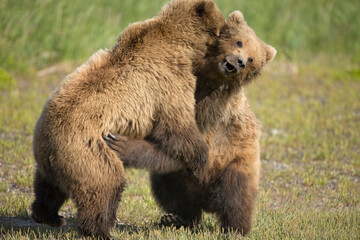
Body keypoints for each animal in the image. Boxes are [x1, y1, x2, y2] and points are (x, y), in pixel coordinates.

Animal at [31, 0, 224, 239]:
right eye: (221, 28)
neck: (183, 46)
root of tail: (46, 145)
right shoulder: (168, 82)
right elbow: (177, 126)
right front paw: (199, 162)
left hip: (55, 159)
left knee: (49, 187)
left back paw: (48, 215)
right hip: (86, 150)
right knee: (105, 186)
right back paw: (99, 230)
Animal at [105, 10, 278, 235]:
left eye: (251, 59)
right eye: (239, 41)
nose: (240, 62)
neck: (206, 77)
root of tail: (208, 202)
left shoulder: (210, 109)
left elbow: (185, 139)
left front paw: (122, 143)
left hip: (237, 161)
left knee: (236, 195)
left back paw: (234, 228)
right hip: (178, 181)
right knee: (169, 187)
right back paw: (176, 218)